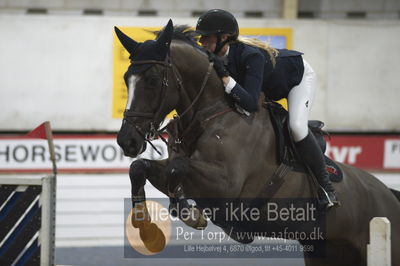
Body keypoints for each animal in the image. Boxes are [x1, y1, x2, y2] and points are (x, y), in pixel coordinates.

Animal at [115, 20, 400, 266]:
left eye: (153, 80)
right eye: (126, 78)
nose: (126, 141)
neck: (212, 112)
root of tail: (388, 194)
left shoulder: (223, 185)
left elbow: (178, 167)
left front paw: (187, 212)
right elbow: (140, 168)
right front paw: (147, 230)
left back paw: (328, 195)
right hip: (326, 253)